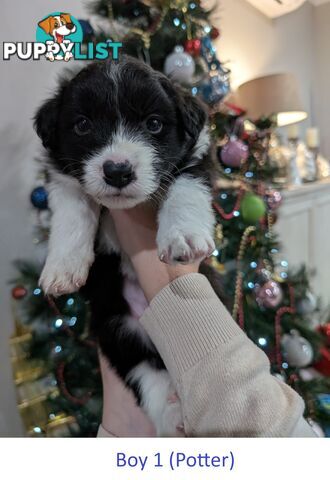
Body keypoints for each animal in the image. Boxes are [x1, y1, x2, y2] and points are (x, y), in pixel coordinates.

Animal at [34, 56, 218, 436]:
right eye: (83, 124)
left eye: (153, 124)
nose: (117, 171)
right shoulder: (64, 177)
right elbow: (72, 215)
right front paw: (62, 269)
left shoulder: (198, 158)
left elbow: (186, 188)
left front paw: (183, 236)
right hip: (116, 328)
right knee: (144, 374)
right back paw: (172, 417)